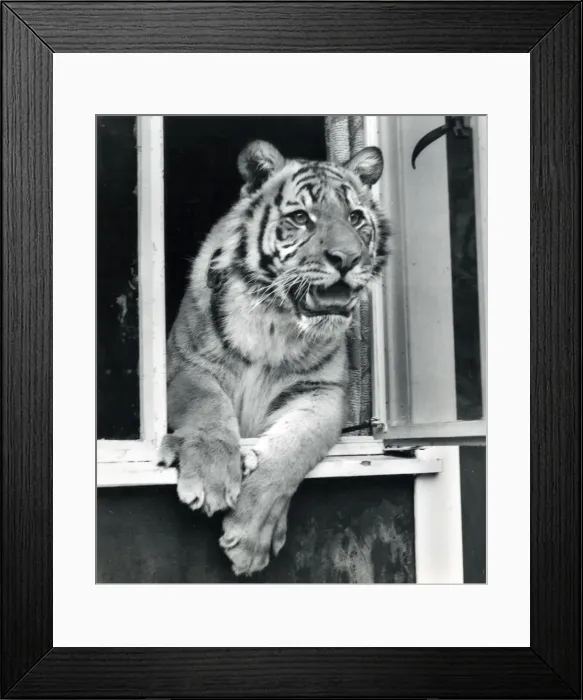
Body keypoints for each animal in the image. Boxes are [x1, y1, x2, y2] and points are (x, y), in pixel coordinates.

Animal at [160, 139, 390, 576]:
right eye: (300, 218)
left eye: (355, 218)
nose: (348, 259)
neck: (275, 323)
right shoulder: (185, 365)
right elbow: (208, 408)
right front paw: (211, 478)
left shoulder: (321, 392)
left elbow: (290, 452)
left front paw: (250, 539)